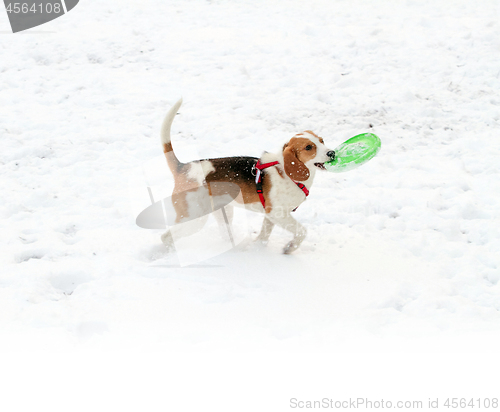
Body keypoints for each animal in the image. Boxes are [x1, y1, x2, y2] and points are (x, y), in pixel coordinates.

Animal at [158, 100, 334, 254]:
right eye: (309, 147)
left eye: (322, 140)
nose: (332, 153)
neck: (286, 173)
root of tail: (183, 167)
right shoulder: (277, 213)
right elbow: (302, 231)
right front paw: (290, 248)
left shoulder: (271, 217)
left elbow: (263, 236)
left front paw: (258, 248)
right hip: (194, 218)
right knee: (166, 237)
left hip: (222, 212)